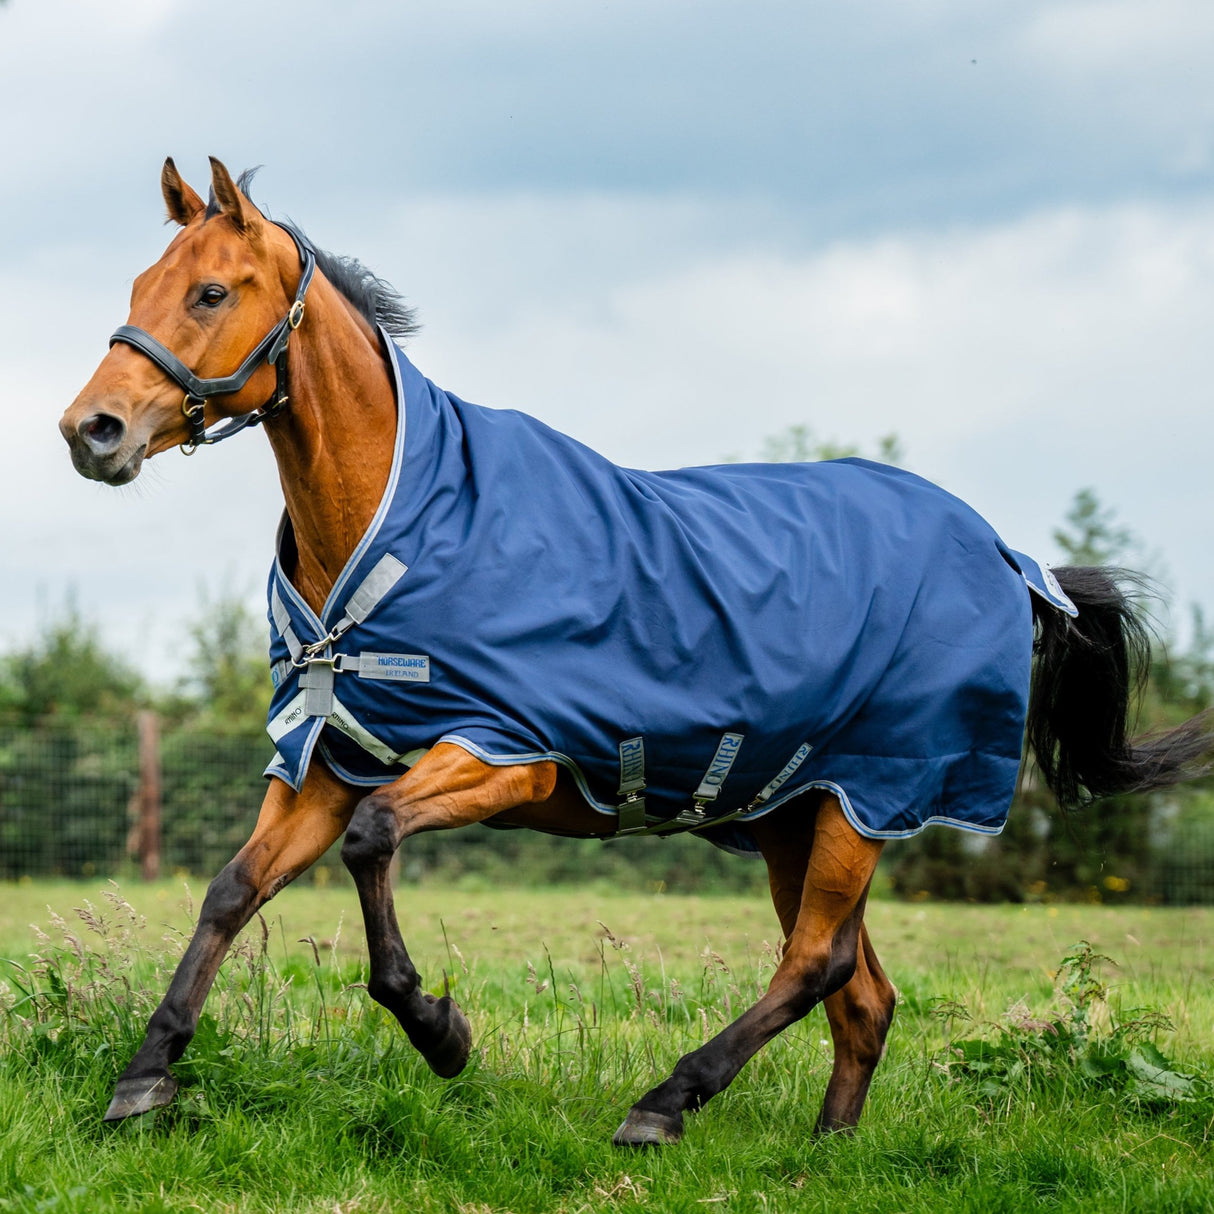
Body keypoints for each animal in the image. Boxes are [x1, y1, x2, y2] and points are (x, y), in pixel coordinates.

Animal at [54, 156, 1204, 1141]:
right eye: (143, 281)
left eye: (211, 293)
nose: (91, 430)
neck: (408, 518)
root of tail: (1008, 555)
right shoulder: (330, 761)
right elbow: (232, 889)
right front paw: (145, 1075)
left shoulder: (504, 753)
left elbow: (375, 844)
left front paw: (440, 1031)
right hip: (800, 816)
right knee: (860, 991)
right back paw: (825, 1148)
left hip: (866, 804)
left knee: (816, 963)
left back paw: (665, 1101)